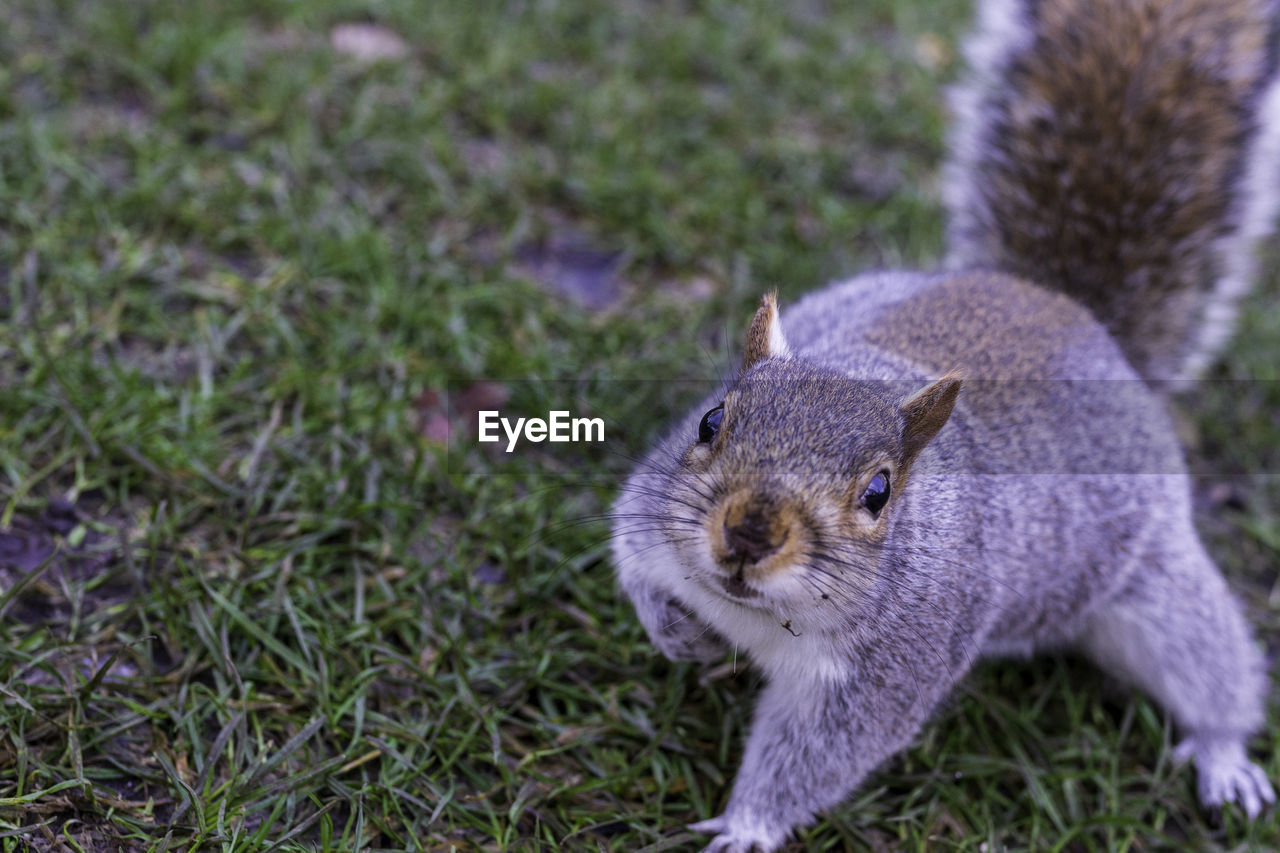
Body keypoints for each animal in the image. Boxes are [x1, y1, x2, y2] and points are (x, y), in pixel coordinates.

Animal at [606, 0, 1280, 845]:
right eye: (709, 421)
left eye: (879, 492)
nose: (748, 535)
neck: (762, 614)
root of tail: (1068, 308)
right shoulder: (648, 510)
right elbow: (636, 569)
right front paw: (680, 632)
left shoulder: (892, 666)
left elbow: (817, 754)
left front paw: (749, 824)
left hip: (1160, 588)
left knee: (1211, 666)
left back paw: (1225, 756)